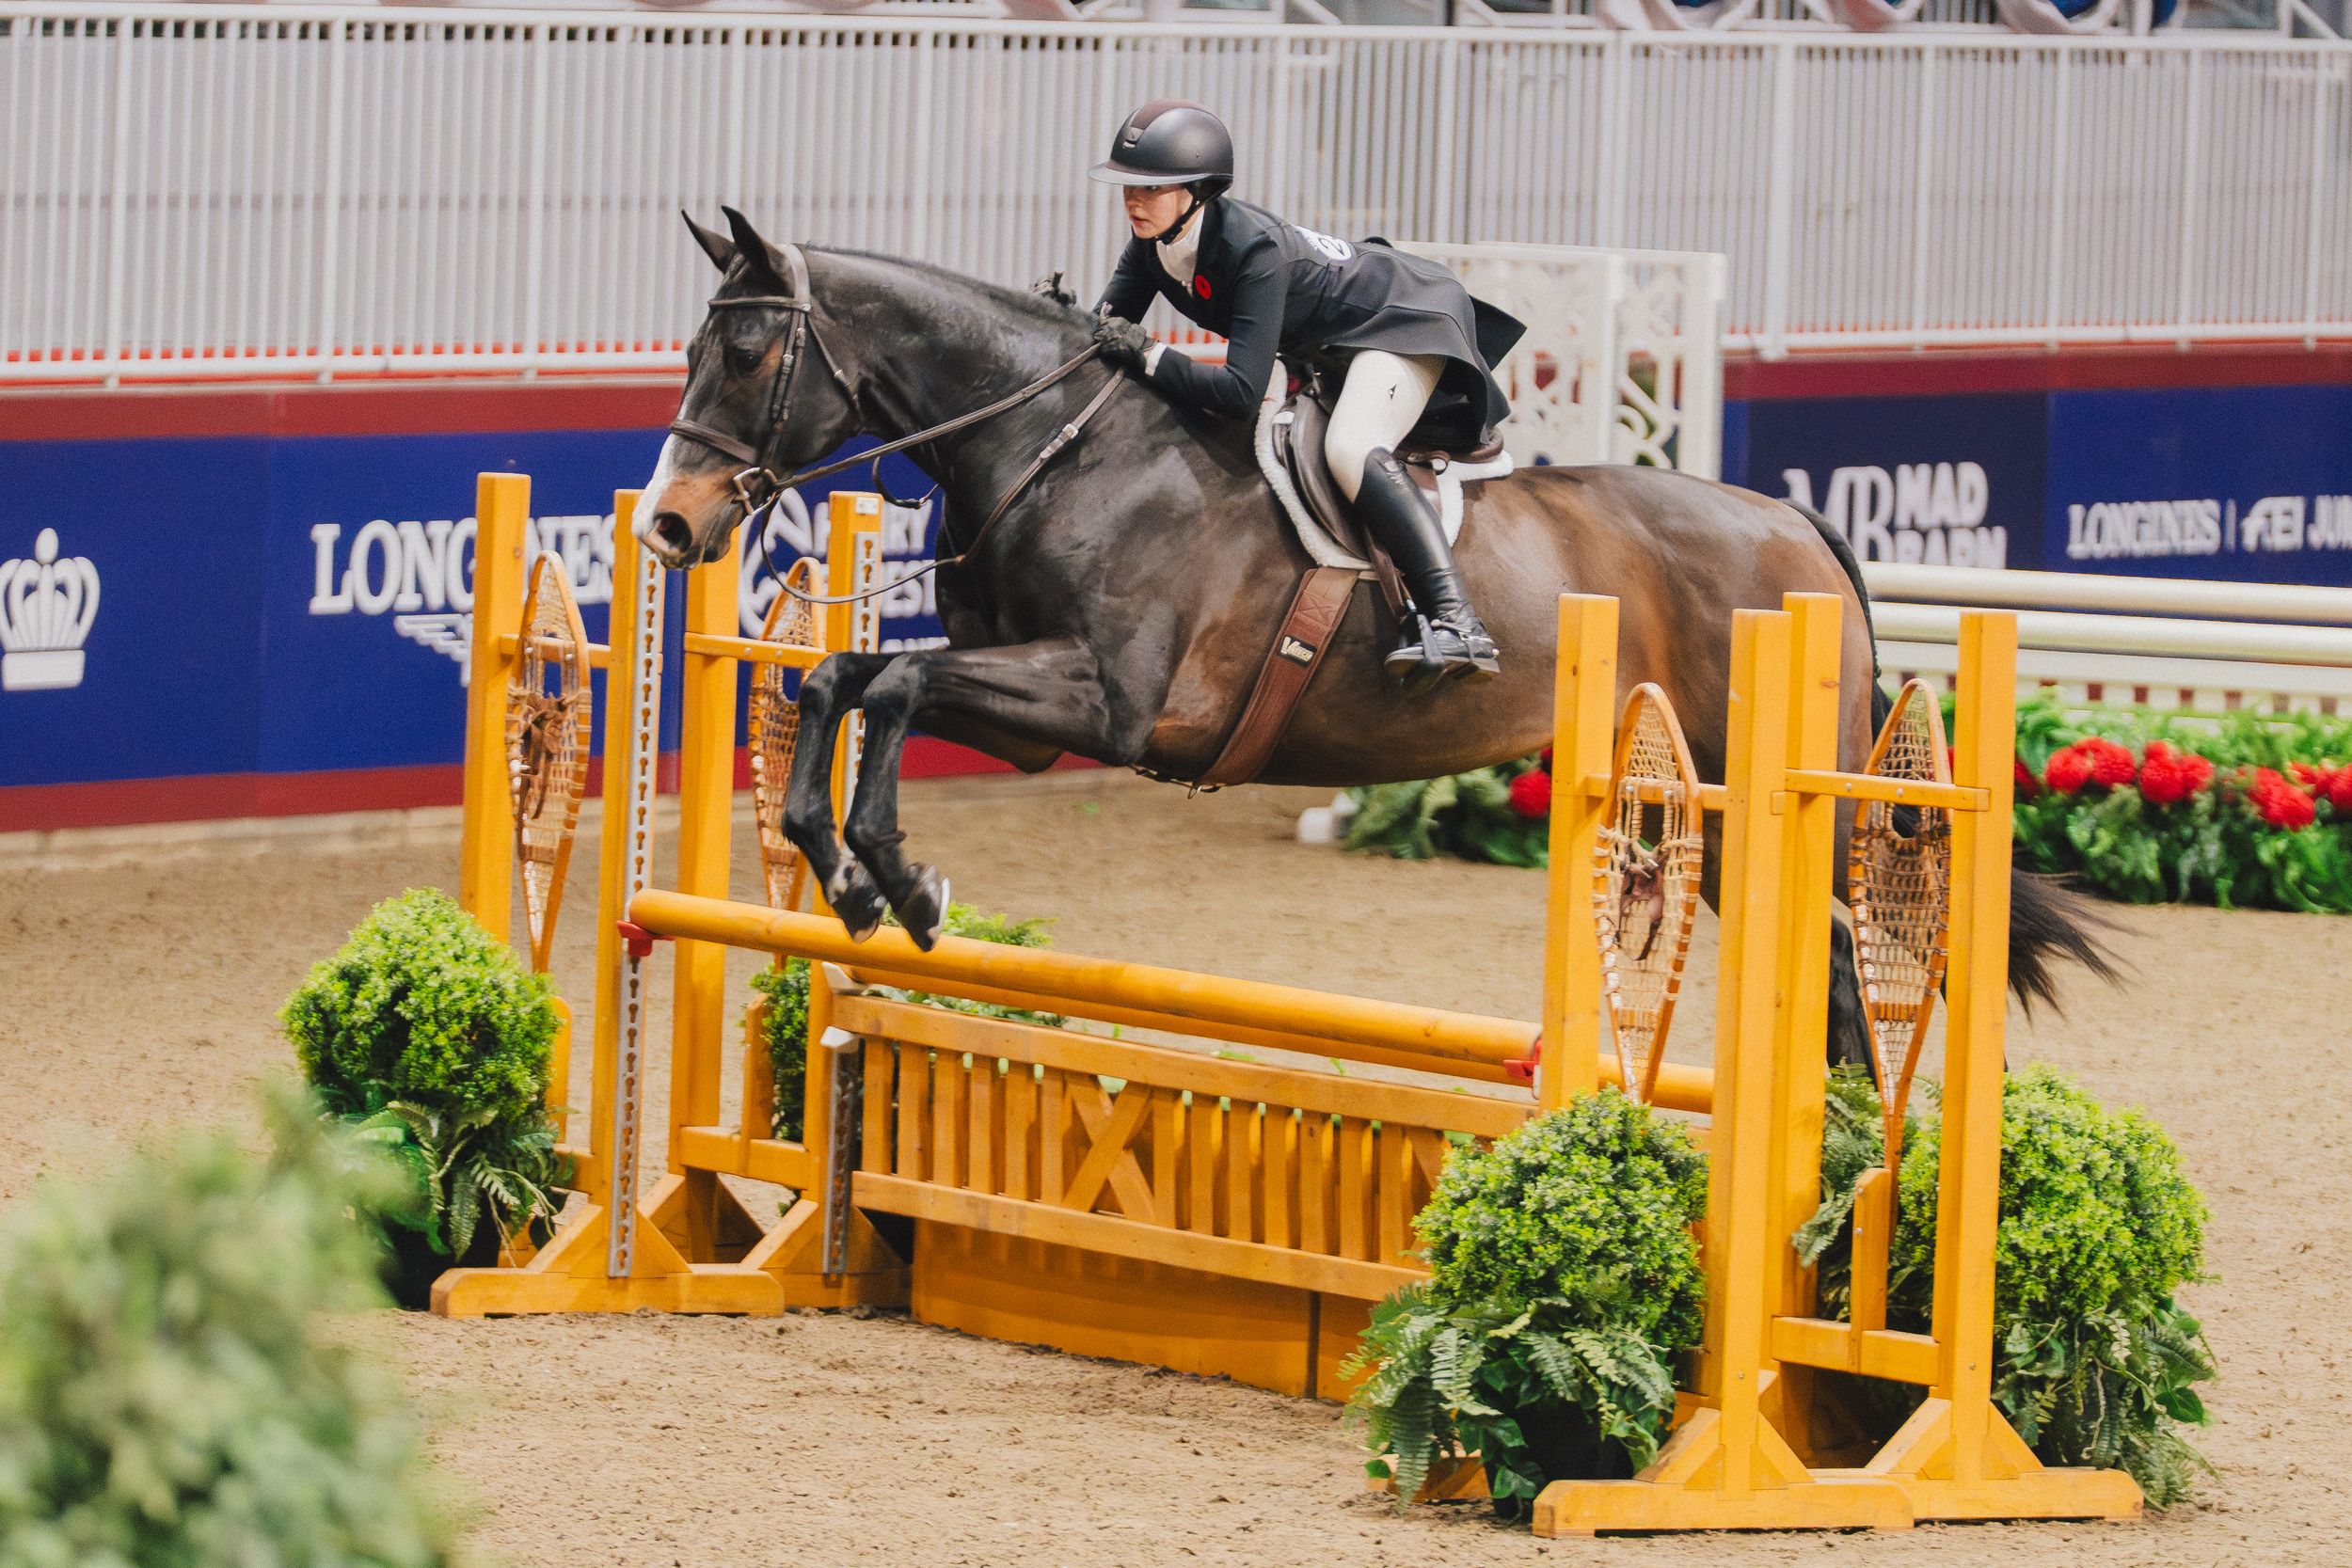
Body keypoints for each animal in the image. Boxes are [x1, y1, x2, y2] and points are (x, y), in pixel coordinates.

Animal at [638, 209, 2109, 1066]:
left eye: (749, 357)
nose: (667, 525)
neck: (1063, 445)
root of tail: (1795, 526)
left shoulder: (1112, 702)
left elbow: (891, 679)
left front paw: (900, 878)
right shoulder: (1038, 726)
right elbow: (852, 672)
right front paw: (849, 871)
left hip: (1781, 791)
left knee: (1860, 965)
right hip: (1720, 801)